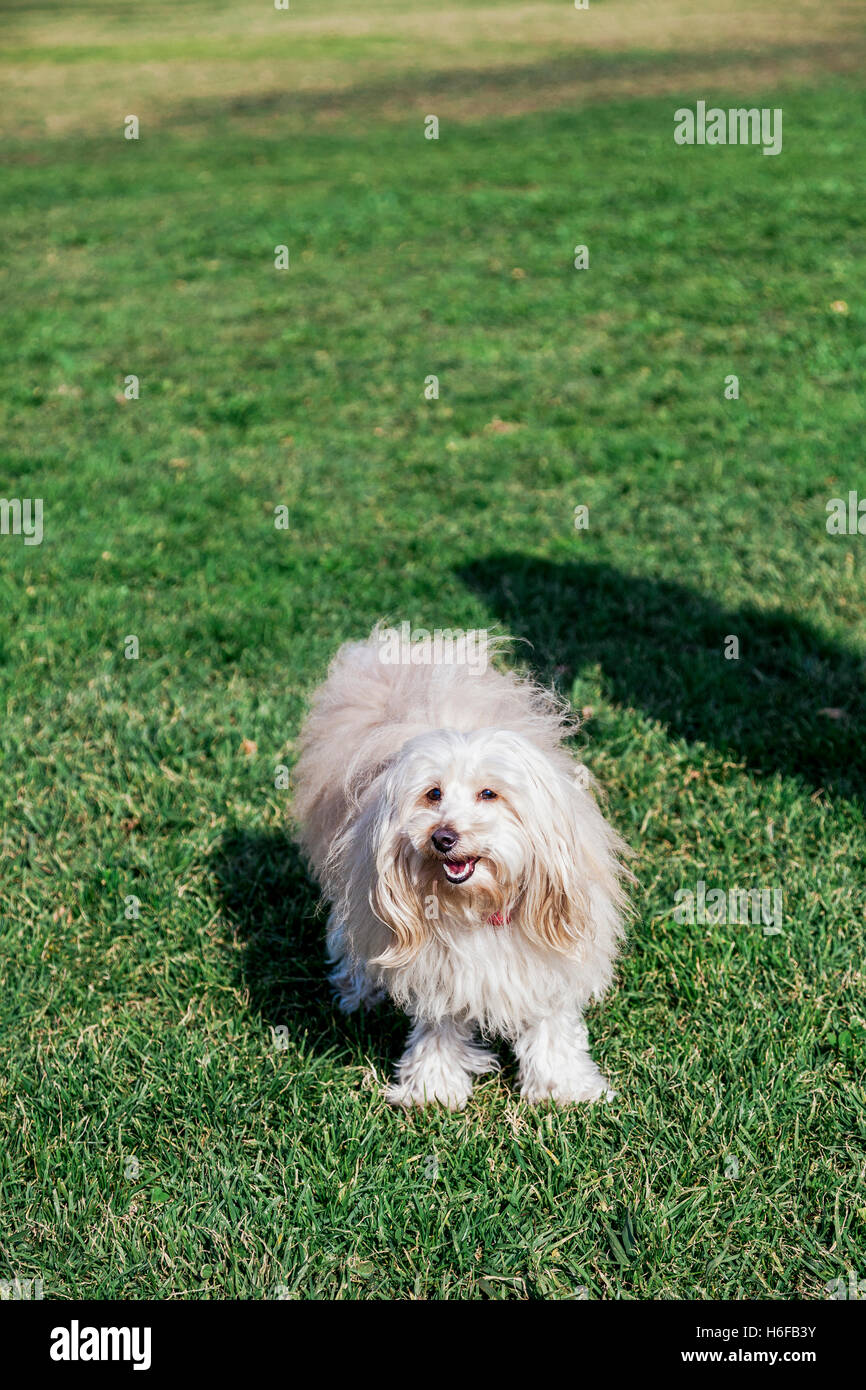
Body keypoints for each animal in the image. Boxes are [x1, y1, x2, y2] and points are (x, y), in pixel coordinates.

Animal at [293, 631, 631, 1106]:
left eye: (488, 793)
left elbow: (551, 1022)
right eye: (433, 794)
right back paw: (358, 990)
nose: (443, 837)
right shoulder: (437, 969)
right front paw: (432, 1088)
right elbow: (439, 1027)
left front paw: (561, 1087)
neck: (480, 905)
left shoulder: (548, 954)